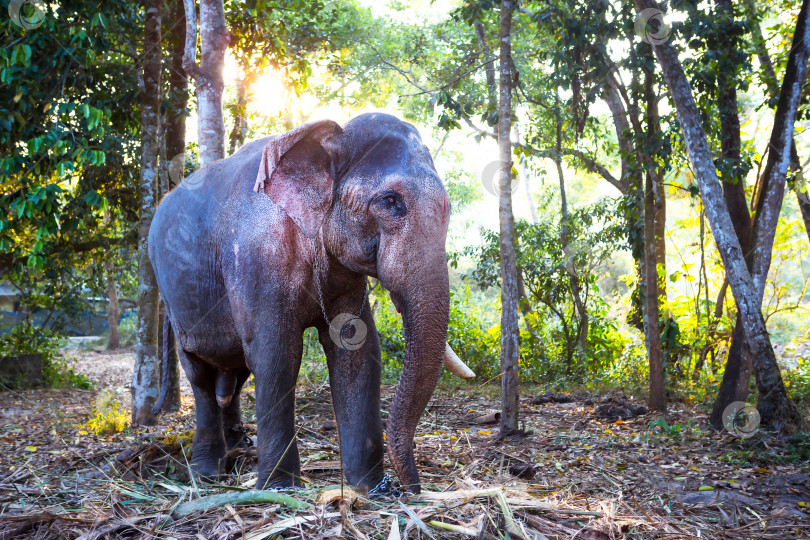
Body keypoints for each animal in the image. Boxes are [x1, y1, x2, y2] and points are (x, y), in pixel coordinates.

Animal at [148, 113, 470, 494]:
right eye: (391, 201)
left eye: (446, 208)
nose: (413, 489)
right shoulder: (258, 260)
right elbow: (276, 353)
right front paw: (279, 488)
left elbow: (357, 350)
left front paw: (371, 488)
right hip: (172, 295)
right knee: (199, 374)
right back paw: (207, 472)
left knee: (235, 373)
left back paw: (240, 448)